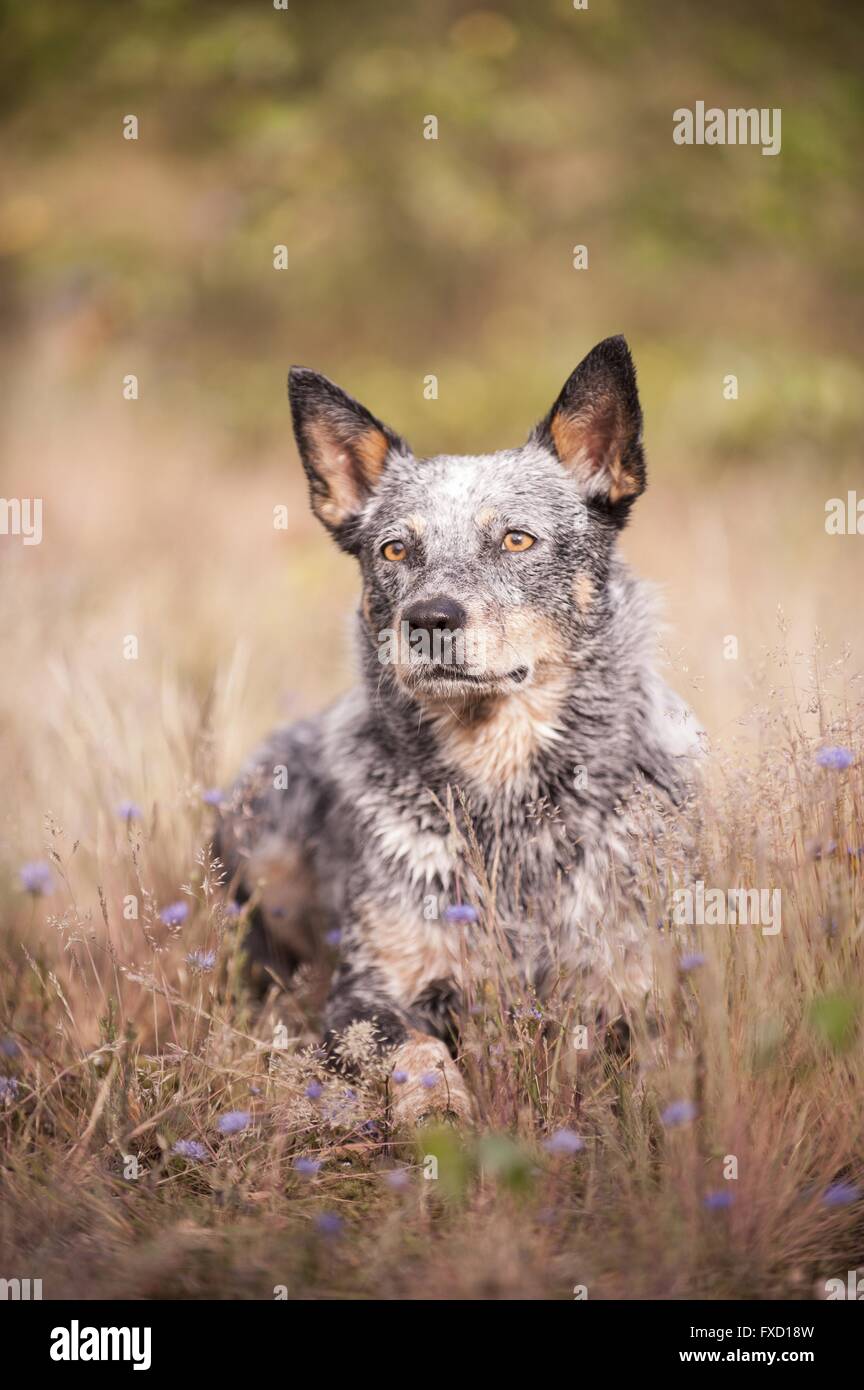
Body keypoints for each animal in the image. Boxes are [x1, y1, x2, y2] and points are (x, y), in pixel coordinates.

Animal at [216, 336, 705, 1128]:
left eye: (516, 539)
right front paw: (441, 1114)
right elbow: (418, 1053)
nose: (430, 620)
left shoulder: (639, 978)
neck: (501, 798)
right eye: (394, 551)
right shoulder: (367, 991)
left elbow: (658, 1062)